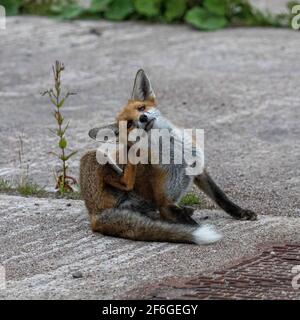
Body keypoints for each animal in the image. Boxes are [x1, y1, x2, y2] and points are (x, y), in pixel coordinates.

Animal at [80, 70, 258, 245]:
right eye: (129, 124)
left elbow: (221, 197)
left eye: (141, 107)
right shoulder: (165, 203)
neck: (178, 154)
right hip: (92, 156)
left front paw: (241, 212)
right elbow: (190, 225)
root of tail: (94, 216)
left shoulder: (199, 171)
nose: (143, 118)